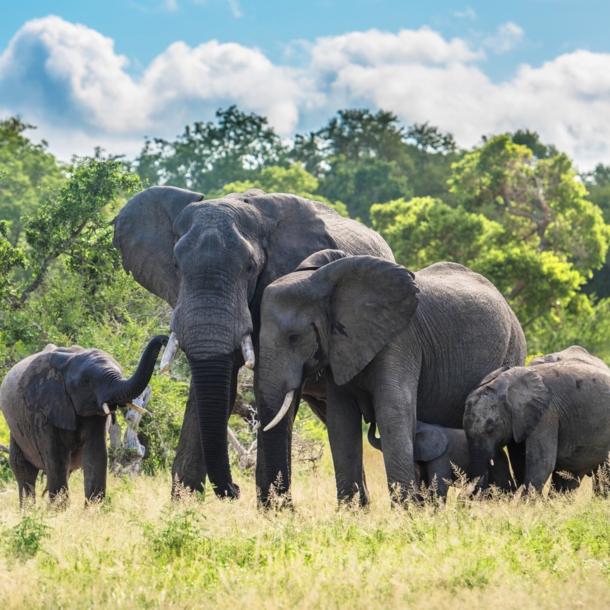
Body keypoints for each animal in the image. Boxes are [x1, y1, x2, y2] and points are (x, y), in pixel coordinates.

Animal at [0, 332, 166, 504]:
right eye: (86, 382)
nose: (164, 339)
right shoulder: (43, 409)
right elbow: (55, 460)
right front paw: (59, 510)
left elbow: (96, 455)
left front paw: (93, 509)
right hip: (16, 428)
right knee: (23, 468)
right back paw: (29, 510)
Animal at [112, 185, 392, 498]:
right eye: (175, 265)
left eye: (249, 268)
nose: (235, 489)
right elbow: (213, 389)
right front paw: (183, 504)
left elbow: (267, 389)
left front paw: (273, 506)